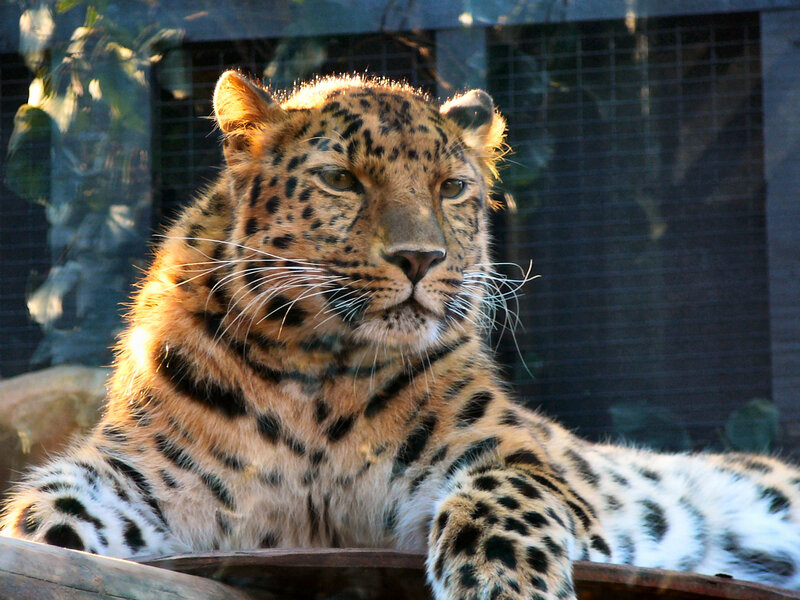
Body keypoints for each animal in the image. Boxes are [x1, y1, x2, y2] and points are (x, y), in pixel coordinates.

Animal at [3, 70, 800, 600]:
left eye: (451, 187)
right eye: (341, 179)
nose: (420, 259)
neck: (314, 371)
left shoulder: (531, 462)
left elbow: (501, 497)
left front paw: (507, 584)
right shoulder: (132, 473)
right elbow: (41, 518)